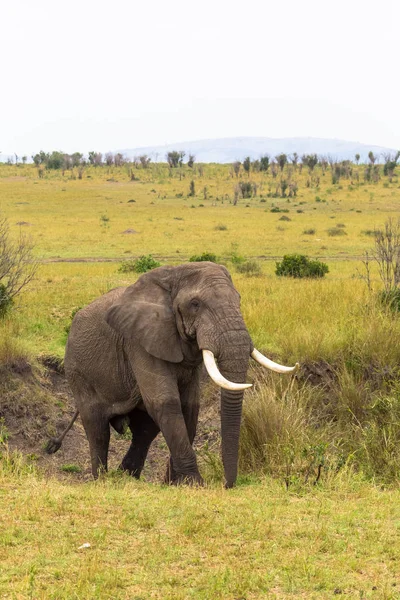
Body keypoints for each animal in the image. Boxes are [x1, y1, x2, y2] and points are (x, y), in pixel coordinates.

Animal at [47, 262, 296, 488]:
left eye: (239, 300)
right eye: (195, 304)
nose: (228, 485)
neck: (172, 277)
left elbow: (189, 407)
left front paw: (175, 483)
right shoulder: (139, 340)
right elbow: (166, 402)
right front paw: (194, 484)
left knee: (145, 430)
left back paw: (127, 476)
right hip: (78, 371)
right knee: (97, 429)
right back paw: (103, 481)